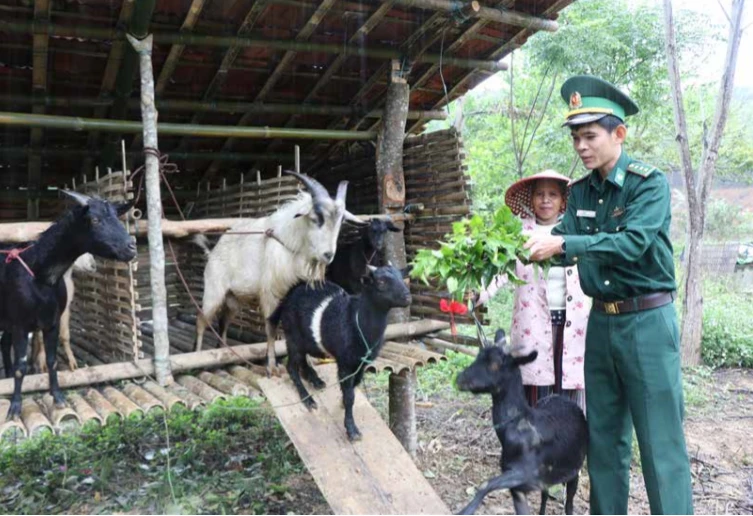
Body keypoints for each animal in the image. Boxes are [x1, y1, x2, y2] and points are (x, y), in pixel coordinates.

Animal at [0, 189, 135, 420]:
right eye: (95, 220)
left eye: (117, 218)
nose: (131, 247)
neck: (41, 276)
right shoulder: (20, 325)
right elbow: (21, 366)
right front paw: (15, 407)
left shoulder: (51, 322)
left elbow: (52, 360)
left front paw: (58, 398)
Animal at [268, 266, 412, 440]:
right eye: (381, 282)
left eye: (401, 277)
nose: (407, 296)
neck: (358, 322)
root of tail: (291, 292)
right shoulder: (345, 362)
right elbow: (350, 396)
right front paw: (351, 429)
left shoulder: (361, 363)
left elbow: (353, 388)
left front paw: (343, 404)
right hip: (292, 335)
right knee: (291, 366)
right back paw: (307, 399)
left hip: (306, 340)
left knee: (302, 359)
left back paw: (315, 380)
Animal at [452, 330, 588, 516]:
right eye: (478, 356)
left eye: (494, 364)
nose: (460, 379)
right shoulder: (518, 488)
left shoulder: (527, 473)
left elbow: (486, 484)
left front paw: (466, 510)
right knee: (545, 495)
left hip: (575, 468)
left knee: (569, 503)